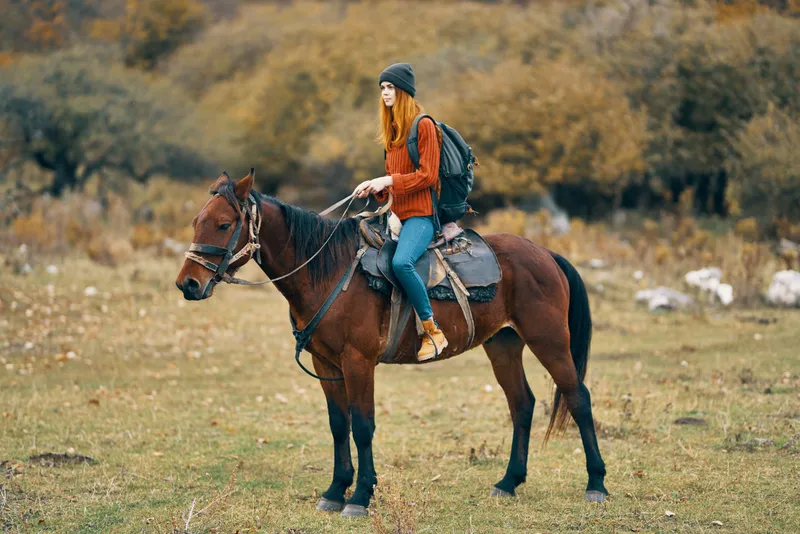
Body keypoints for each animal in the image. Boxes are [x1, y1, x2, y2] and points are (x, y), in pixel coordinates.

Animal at [175, 169, 608, 518]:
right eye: (196, 221)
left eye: (223, 224)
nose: (188, 284)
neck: (328, 271)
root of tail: (545, 253)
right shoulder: (326, 365)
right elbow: (339, 424)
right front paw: (335, 490)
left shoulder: (358, 362)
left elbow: (363, 426)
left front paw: (359, 497)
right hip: (503, 345)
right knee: (522, 404)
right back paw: (508, 482)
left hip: (549, 341)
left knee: (578, 398)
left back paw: (596, 484)